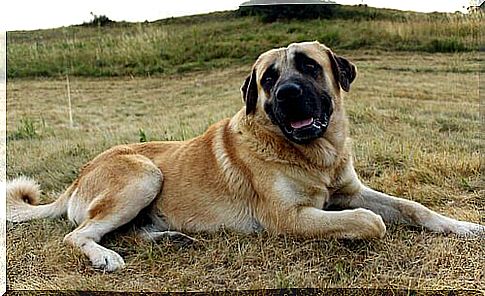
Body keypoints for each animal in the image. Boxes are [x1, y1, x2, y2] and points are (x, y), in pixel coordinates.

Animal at [6, 40, 480, 272]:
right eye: (268, 78)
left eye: (309, 67)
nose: (287, 94)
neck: (312, 157)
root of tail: (75, 180)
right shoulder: (289, 218)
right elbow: (371, 221)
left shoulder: (350, 190)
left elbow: (414, 207)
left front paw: (466, 226)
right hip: (144, 175)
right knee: (78, 235)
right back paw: (105, 257)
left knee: (120, 230)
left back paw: (168, 238)